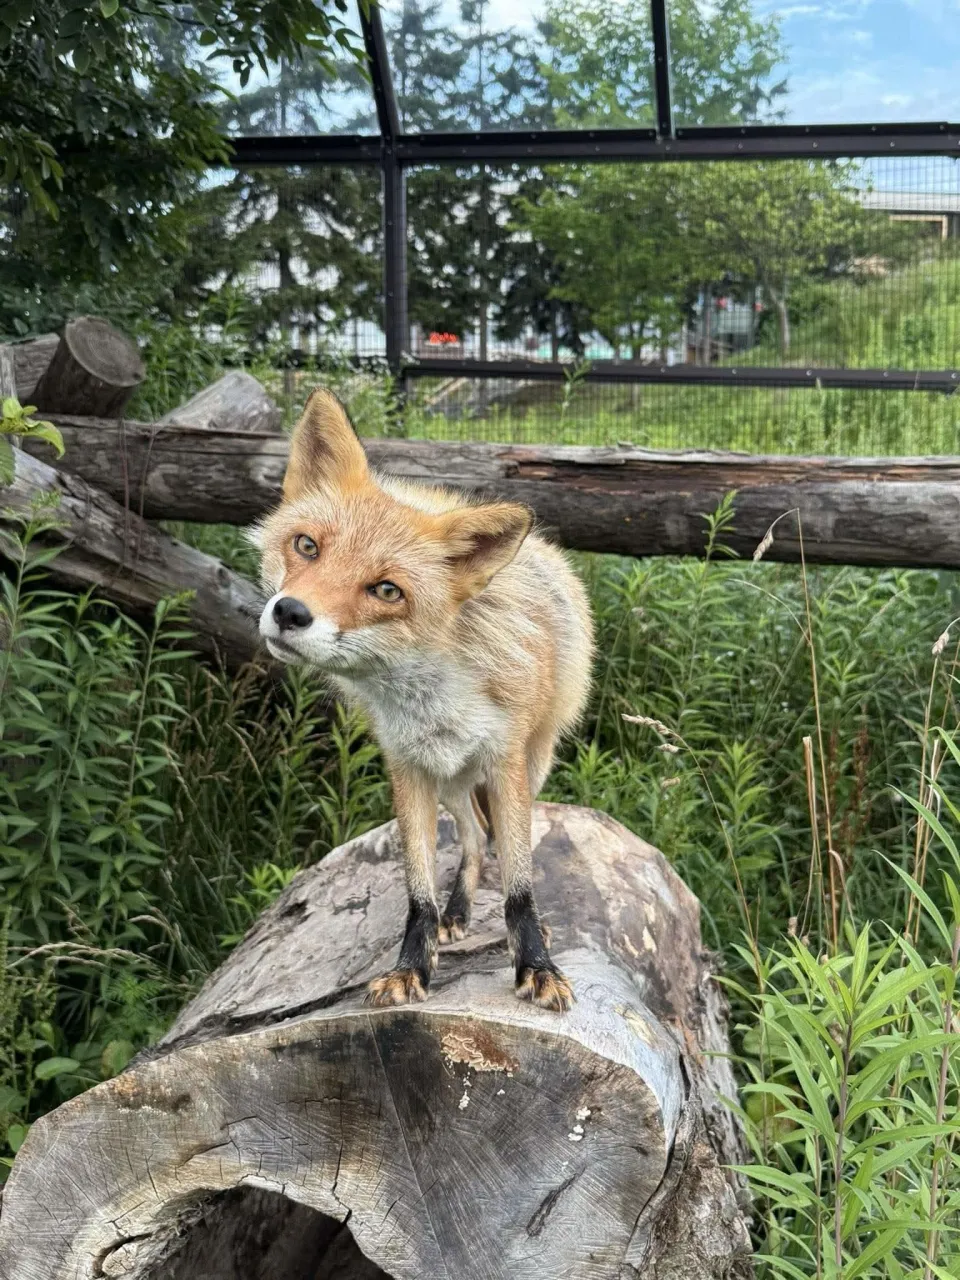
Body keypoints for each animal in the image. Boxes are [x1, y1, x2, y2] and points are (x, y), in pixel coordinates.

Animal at [252, 388, 594, 1012]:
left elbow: (520, 886)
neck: (432, 697)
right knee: (474, 838)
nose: (289, 612)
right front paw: (414, 964)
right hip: (452, 780)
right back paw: (457, 911)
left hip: (530, 763)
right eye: (306, 546)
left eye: (387, 590)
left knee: (496, 841)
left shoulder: (504, 762)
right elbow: (419, 892)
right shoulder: (407, 766)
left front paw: (536, 965)